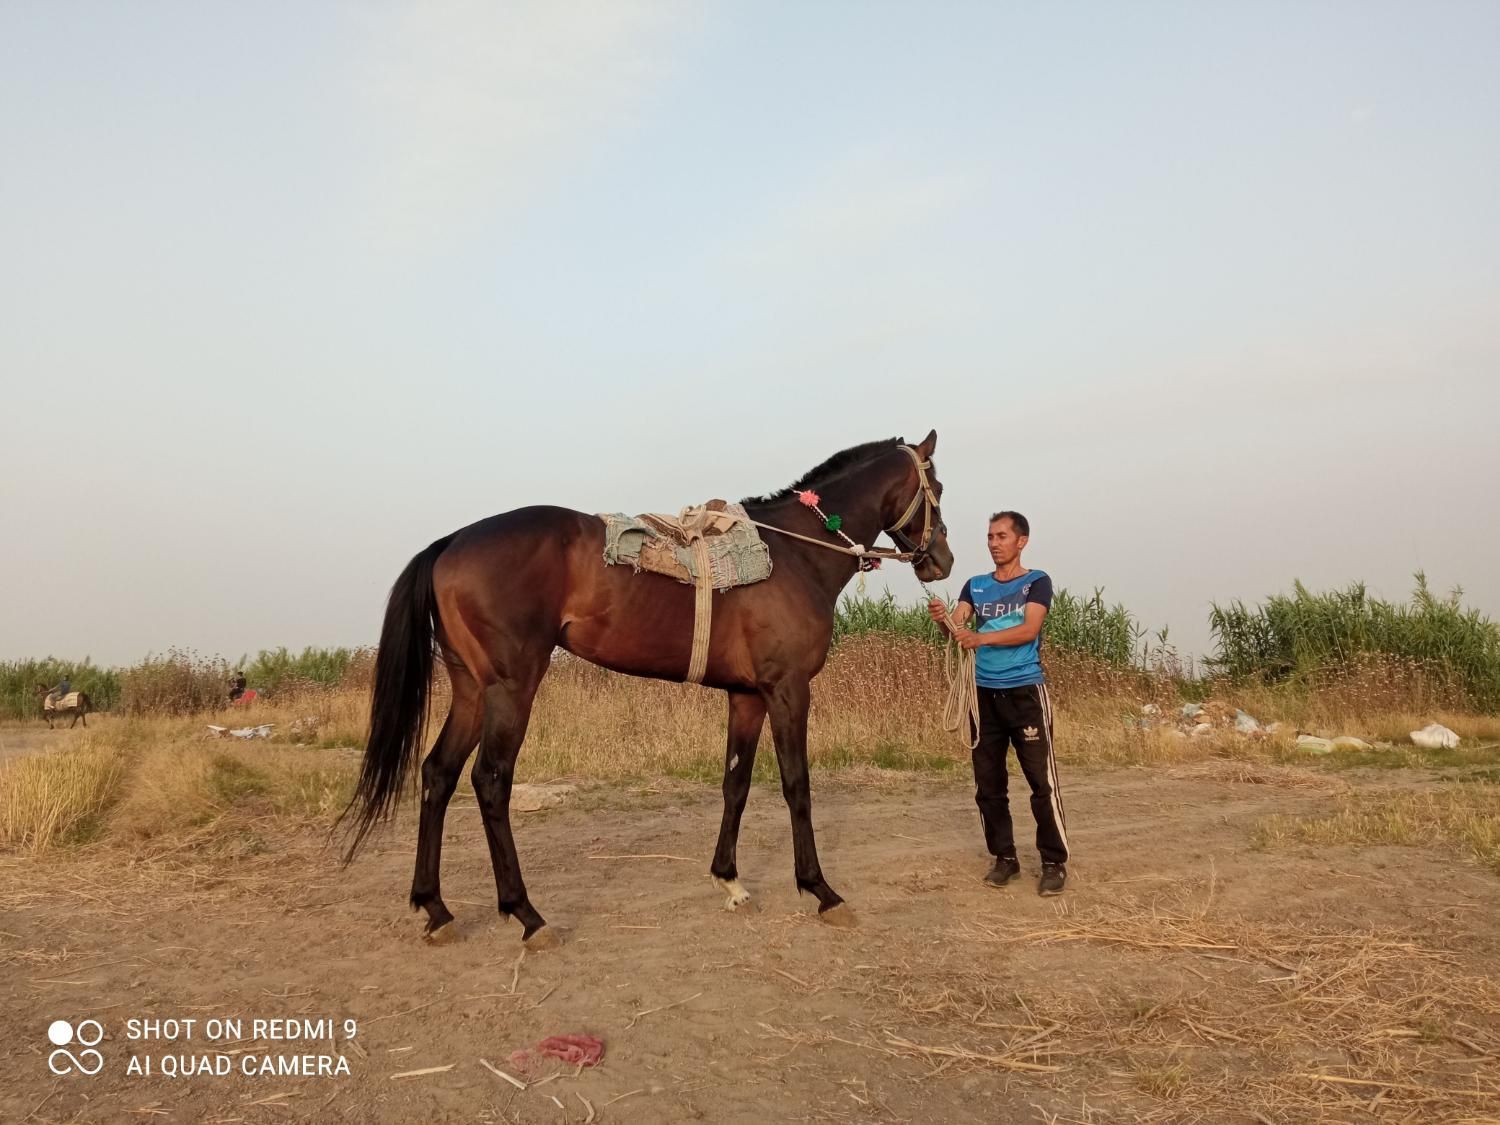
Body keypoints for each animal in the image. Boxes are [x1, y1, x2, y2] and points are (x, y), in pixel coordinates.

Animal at [343, 435, 948, 954]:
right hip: (510, 688)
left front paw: (729, 881)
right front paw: (820, 890)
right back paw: (526, 914)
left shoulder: (746, 696)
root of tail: (450, 543)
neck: (794, 553)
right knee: (490, 781)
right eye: (937, 488)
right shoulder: (787, 690)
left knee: (438, 774)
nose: (941, 560)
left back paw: (436, 907)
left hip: (471, 689)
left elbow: (735, 785)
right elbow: (797, 786)